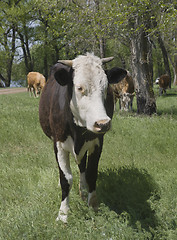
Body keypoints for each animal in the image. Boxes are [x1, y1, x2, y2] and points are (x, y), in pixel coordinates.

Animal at [39, 53, 127, 223]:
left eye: (106, 88)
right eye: (79, 88)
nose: (103, 123)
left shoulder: (97, 143)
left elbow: (91, 173)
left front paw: (93, 206)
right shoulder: (58, 144)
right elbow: (66, 179)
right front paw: (63, 214)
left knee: (82, 167)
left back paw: (83, 189)